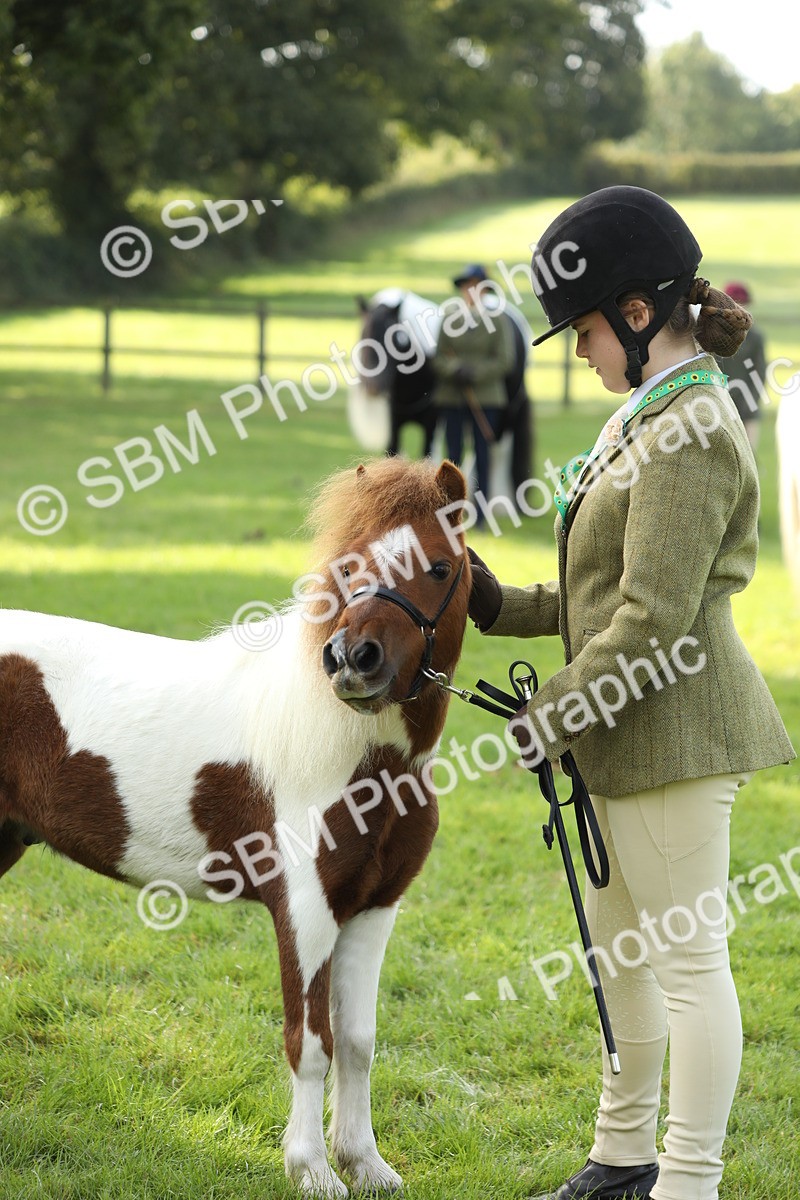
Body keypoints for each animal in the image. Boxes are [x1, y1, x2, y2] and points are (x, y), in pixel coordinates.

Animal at [0, 456, 472, 1198]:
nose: (352, 660)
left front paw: (365, 1163)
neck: (361, 757)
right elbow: (311, 1043)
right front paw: (312, 1170)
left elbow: (358, 1041)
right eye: (349, 565)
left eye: (441, 566)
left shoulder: (374, 909)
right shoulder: (305, 911)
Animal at [351, 287, 535, 499]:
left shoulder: (432, 425)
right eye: (364, 334)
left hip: (502, 418)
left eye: (395, 338)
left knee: (494, 455)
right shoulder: (395, 423)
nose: (373, 386)